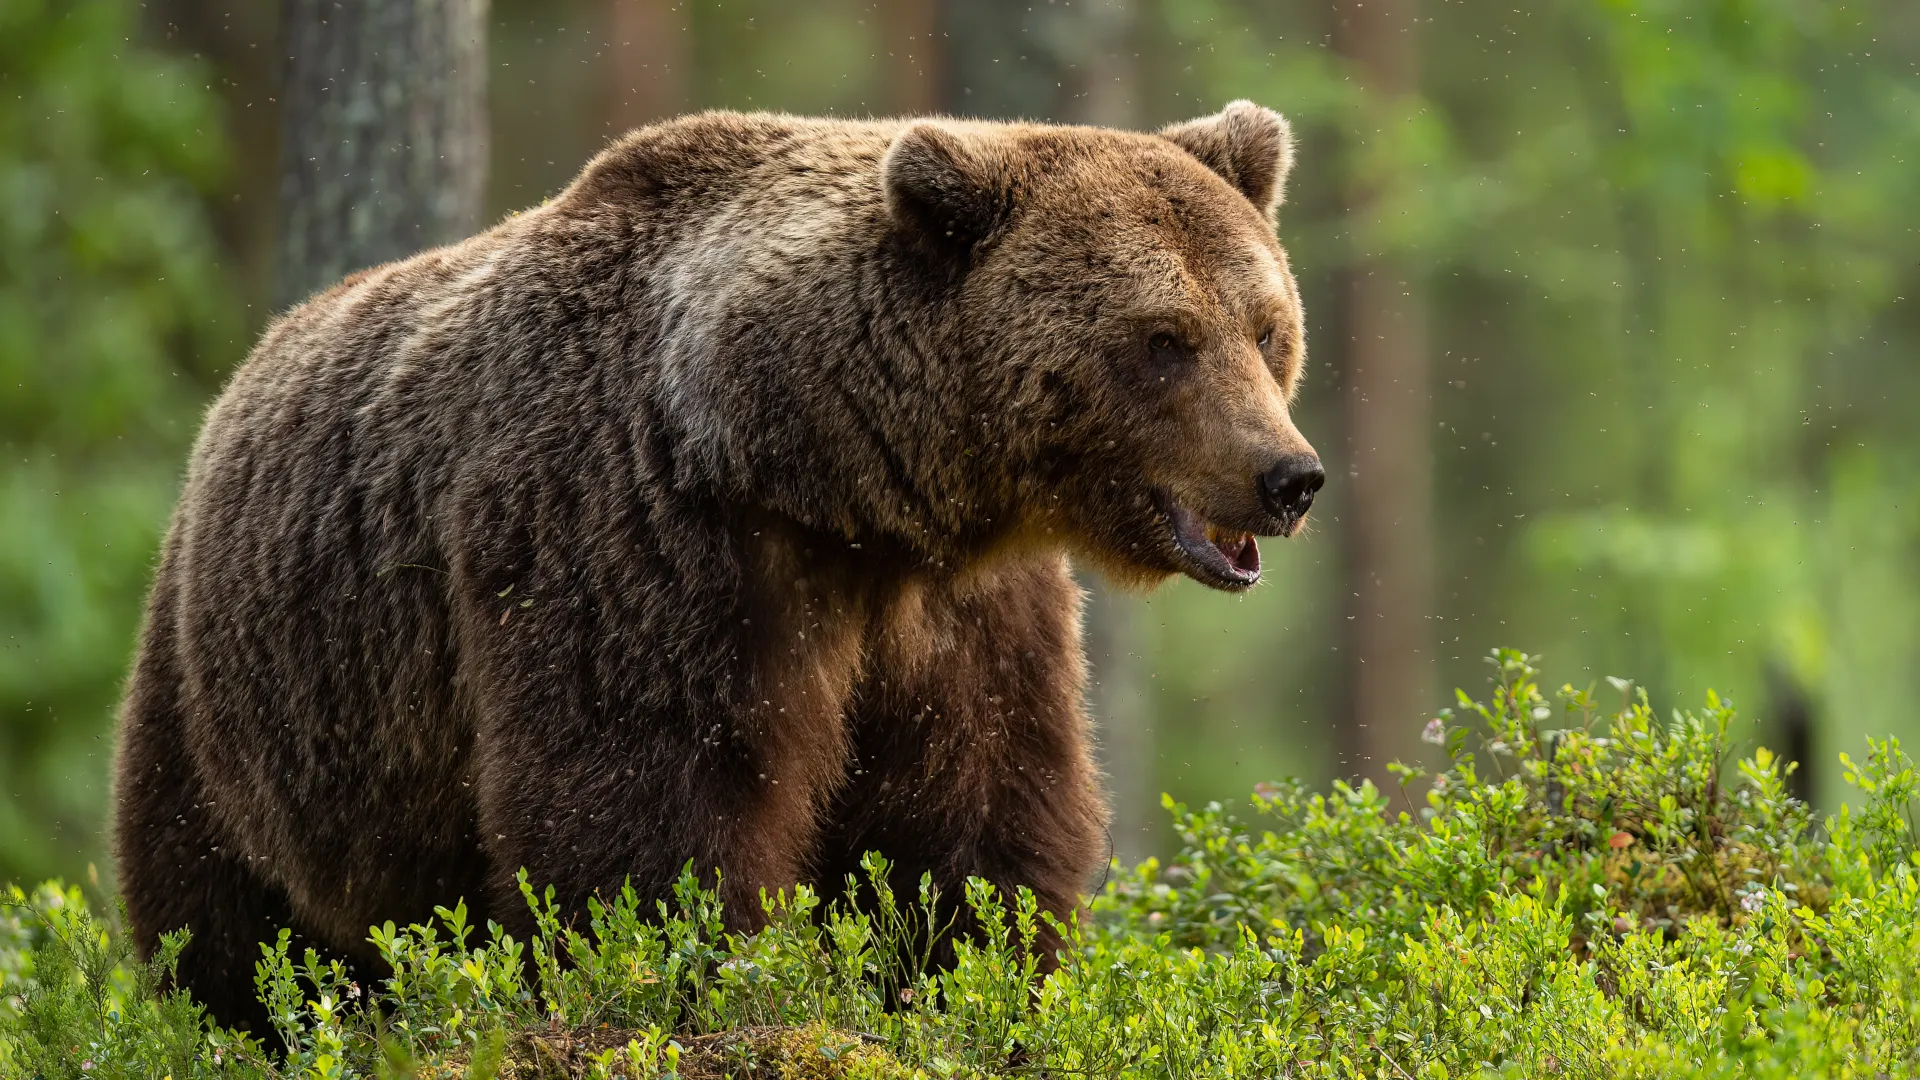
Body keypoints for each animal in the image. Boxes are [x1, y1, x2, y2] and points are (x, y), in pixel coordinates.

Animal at [116, 102, 1320, 1037]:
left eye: (1265, 327)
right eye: (1163, 340)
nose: (1288, 475)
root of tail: (236, 385)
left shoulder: (957, 611)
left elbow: (973, 816)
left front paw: (964, 980)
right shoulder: (638, 536)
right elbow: (647, 804)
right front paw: (707, 984)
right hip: (244, 698)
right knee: (220, 914)